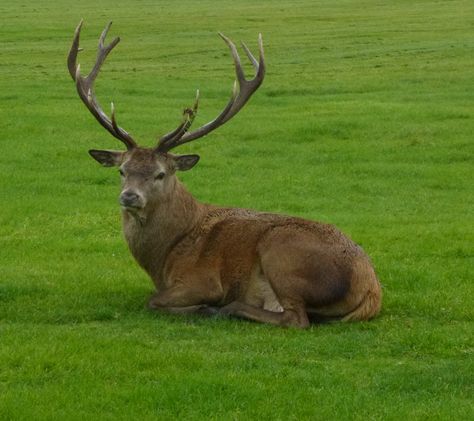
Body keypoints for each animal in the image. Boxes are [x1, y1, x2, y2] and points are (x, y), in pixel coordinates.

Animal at [67, 20, 382, 328]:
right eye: (122, 170)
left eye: (160, 174)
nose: (129, 196)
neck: (164, 255)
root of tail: (371, 290)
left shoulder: (203, 280)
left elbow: (152, 301)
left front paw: (203, 308)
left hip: (282, 252)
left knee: (296, 319)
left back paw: (227, 309)